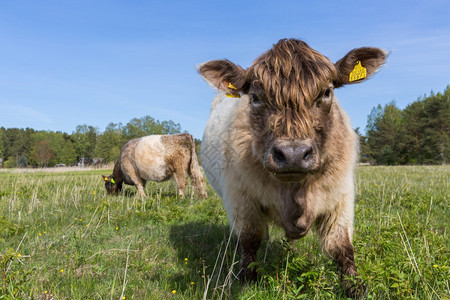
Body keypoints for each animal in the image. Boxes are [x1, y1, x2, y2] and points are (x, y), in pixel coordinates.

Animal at [200, 38, 386, 298]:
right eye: (255, 97)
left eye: (327, 92)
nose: (293, 155)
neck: (296, 193)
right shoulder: (241, 198)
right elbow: (249, 239)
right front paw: (247, 279)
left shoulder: (340, 198)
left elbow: (341, 246)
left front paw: (355, 287)